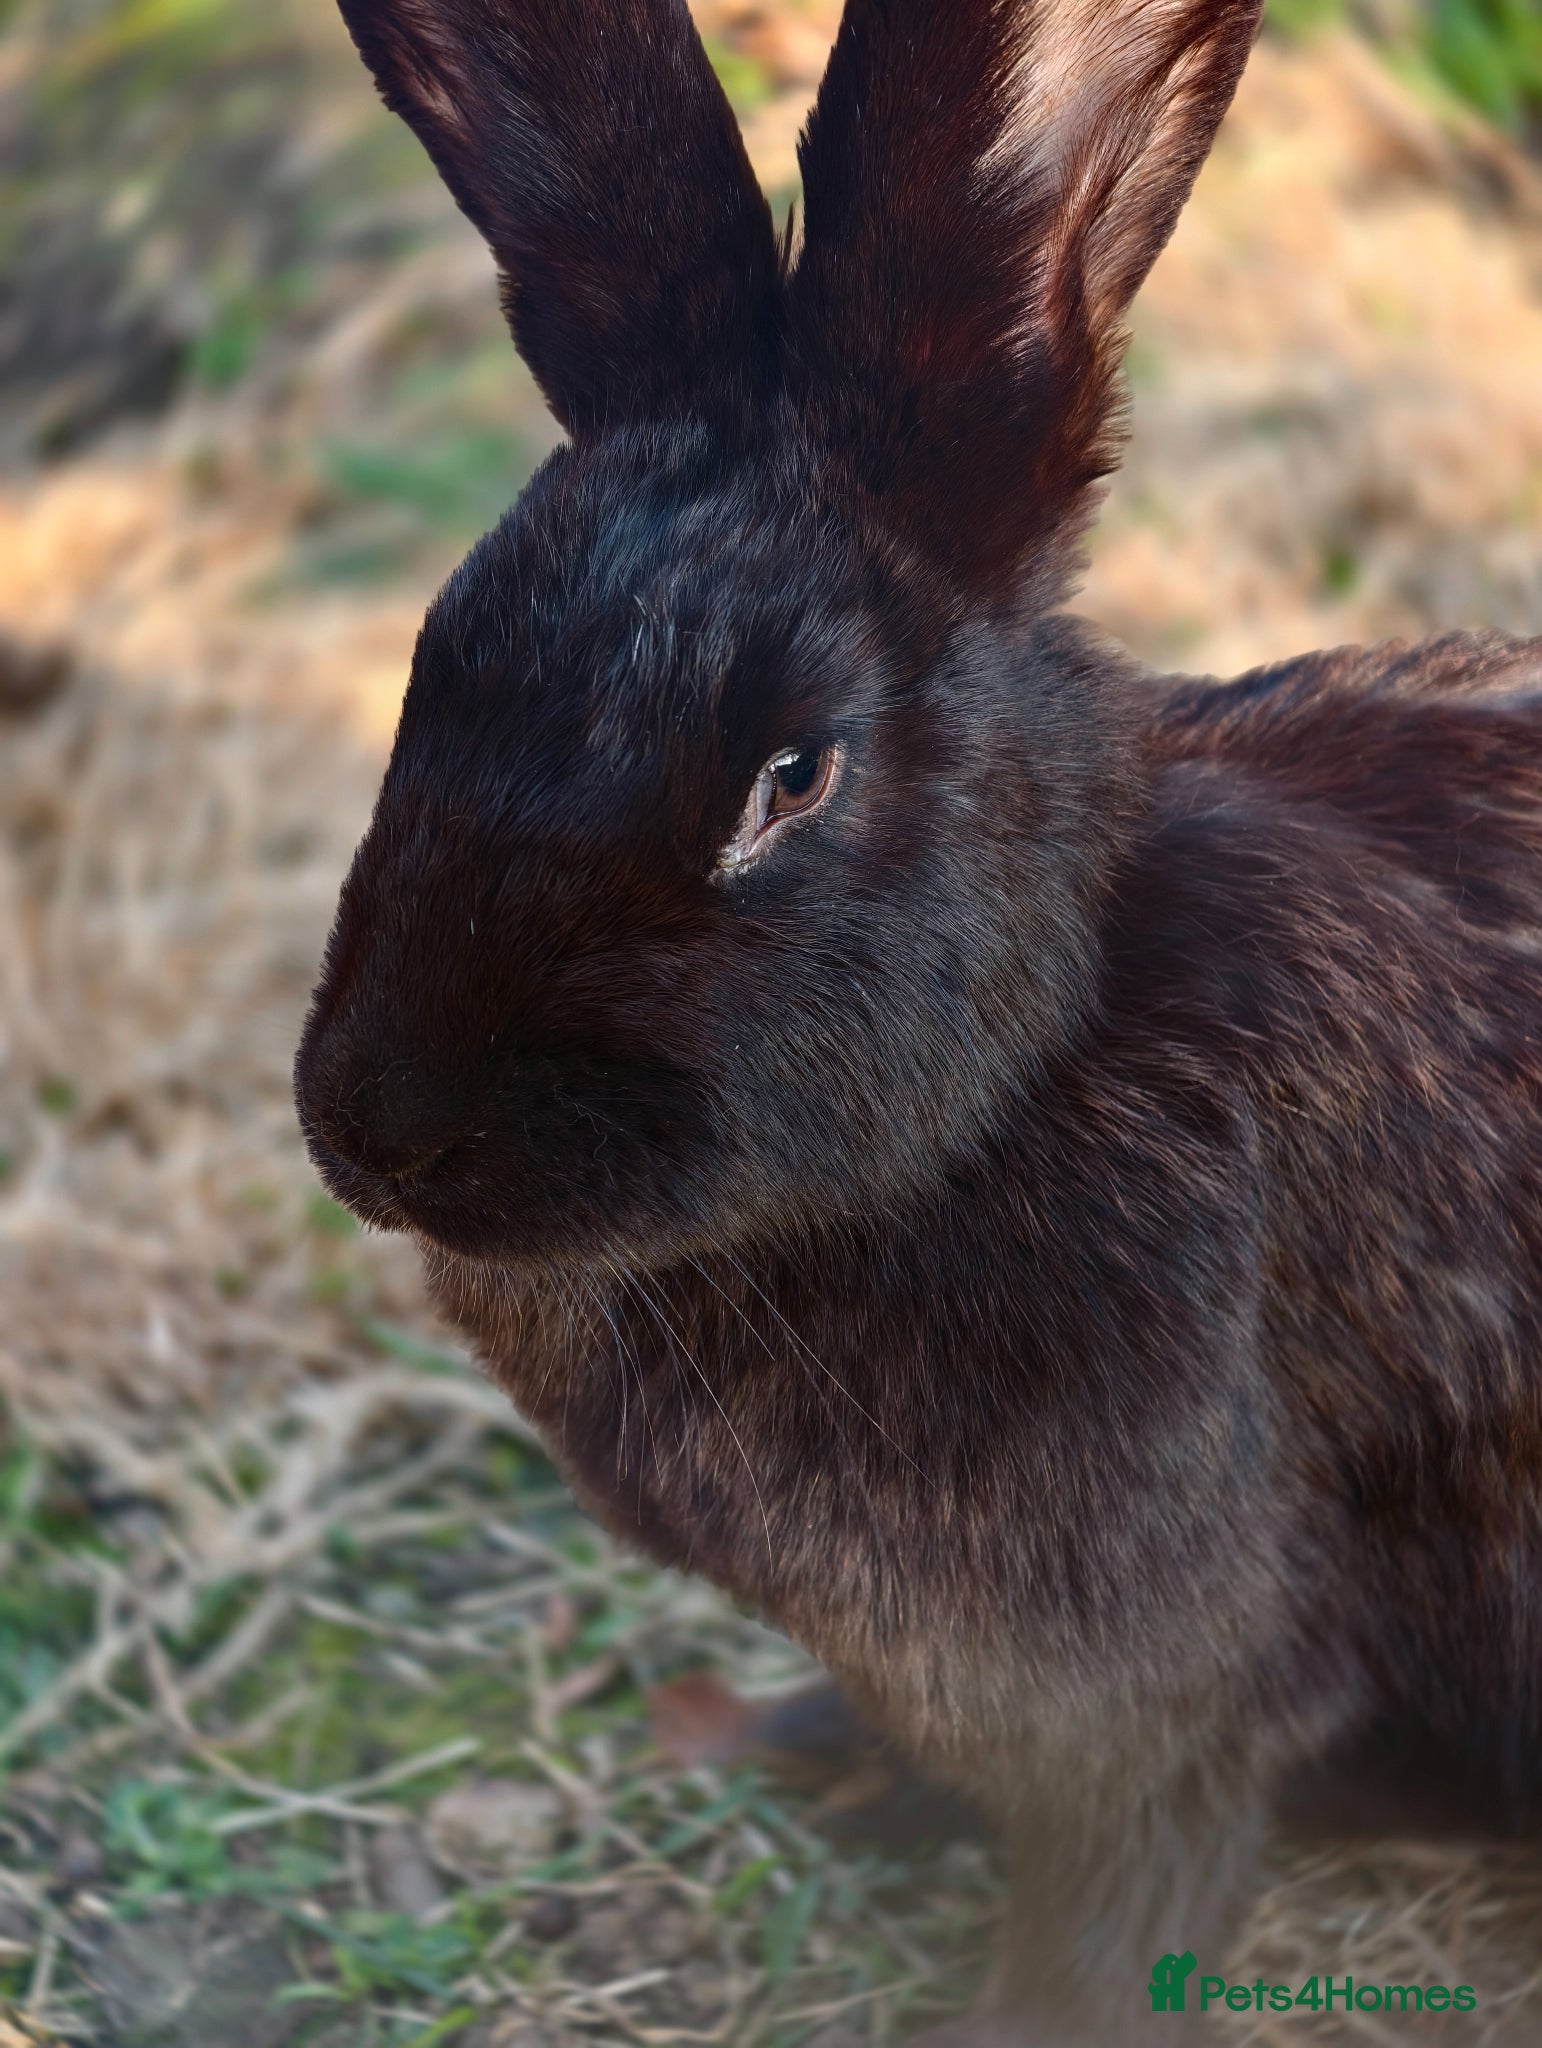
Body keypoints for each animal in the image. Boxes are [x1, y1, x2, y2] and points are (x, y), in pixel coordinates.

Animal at [293, 0, 1542, 2041]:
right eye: (429, 674)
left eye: (791, 776)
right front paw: (809, 1758)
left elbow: (1122, 1902)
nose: (386, 1134)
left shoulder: (1177, 1694)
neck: (1033, 1066)